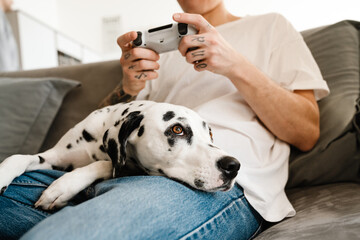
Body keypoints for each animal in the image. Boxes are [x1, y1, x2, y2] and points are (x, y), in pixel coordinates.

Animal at [0, 100, 242, 209]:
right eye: (177, 129)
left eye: (210, 133)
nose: (233, 166)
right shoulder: (52, 158)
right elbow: (19, 157)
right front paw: (2, 175)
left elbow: (105, 164)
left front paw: (63, 187)